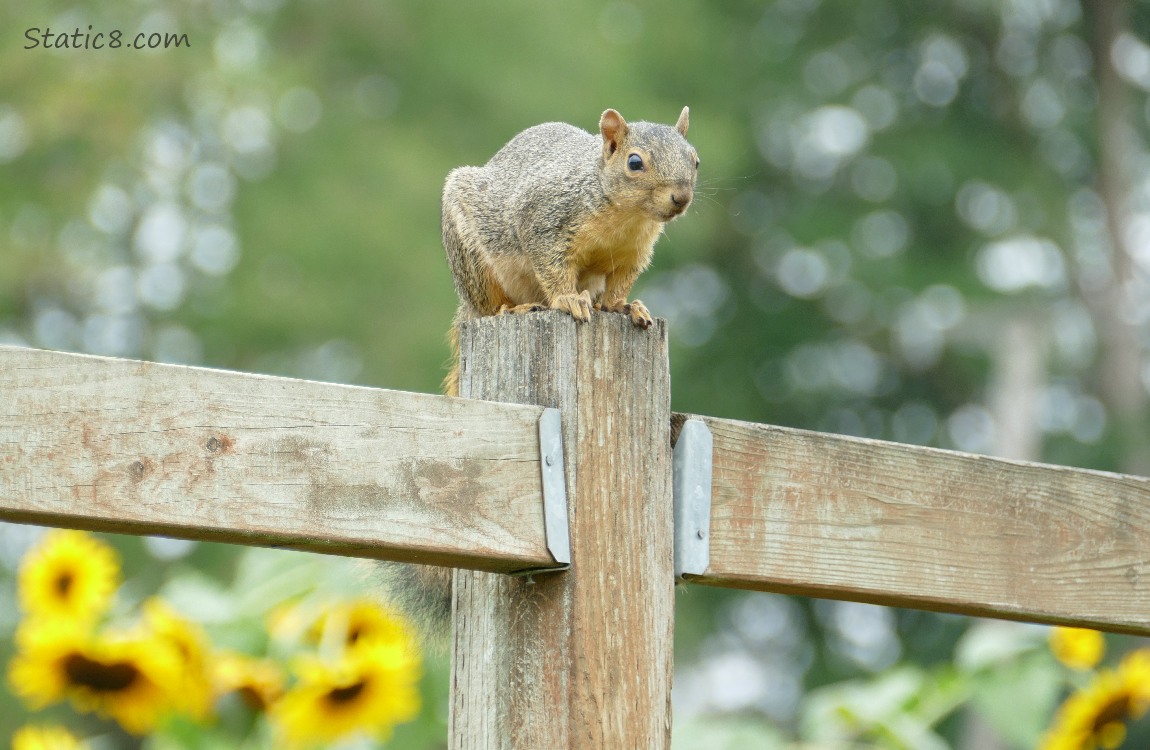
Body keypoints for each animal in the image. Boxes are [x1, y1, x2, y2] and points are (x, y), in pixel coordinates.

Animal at [381, 105, 694, 634]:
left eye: (694, 159)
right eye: (635, 162)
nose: (681, 198)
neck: (622, 215)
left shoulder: (631, 254)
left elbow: (619, 287)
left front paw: (625, 307)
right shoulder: (545, 222)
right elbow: (552, 269)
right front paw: (569, 300)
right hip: (475, 262)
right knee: (493, 304)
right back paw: (517, 309)